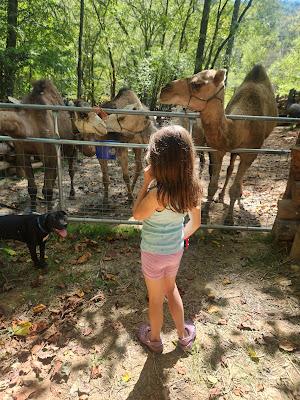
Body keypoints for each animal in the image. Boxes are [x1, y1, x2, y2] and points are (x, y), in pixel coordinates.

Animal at [0, 79, 78, 211]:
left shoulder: (49, 153)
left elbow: (47, 191)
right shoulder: (23, 154)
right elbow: (32, 188)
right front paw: (33, 210)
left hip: (70, 146)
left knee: (71, 169)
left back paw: (72, 194)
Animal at [161, 64, 278, 223]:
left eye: (197, 84)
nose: (164, 90)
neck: (240, 128)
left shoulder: (250, 154)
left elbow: (234, 188)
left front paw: (229, 219)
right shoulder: (218, 150)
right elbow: (212, 185)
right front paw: (205, 215)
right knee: (230, 168)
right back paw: (222, 196)